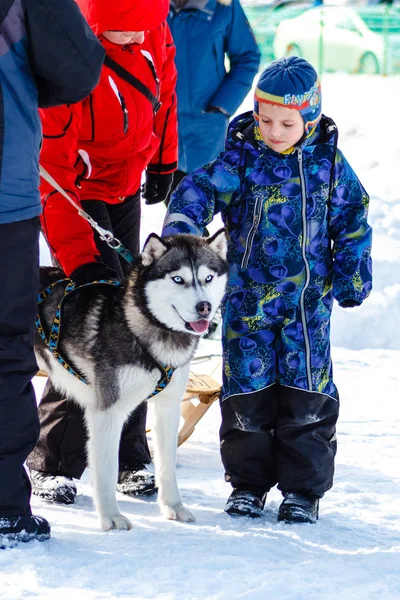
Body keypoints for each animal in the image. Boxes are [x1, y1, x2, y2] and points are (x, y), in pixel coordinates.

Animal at [34, 230, 228, 528]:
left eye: (208, 278)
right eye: (178, 279)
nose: (204, 307)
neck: (139, 326)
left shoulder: (168, 407)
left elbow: (166, 464)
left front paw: (173, 507)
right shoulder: (106, 411)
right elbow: (105, 467)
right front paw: (110, 517)